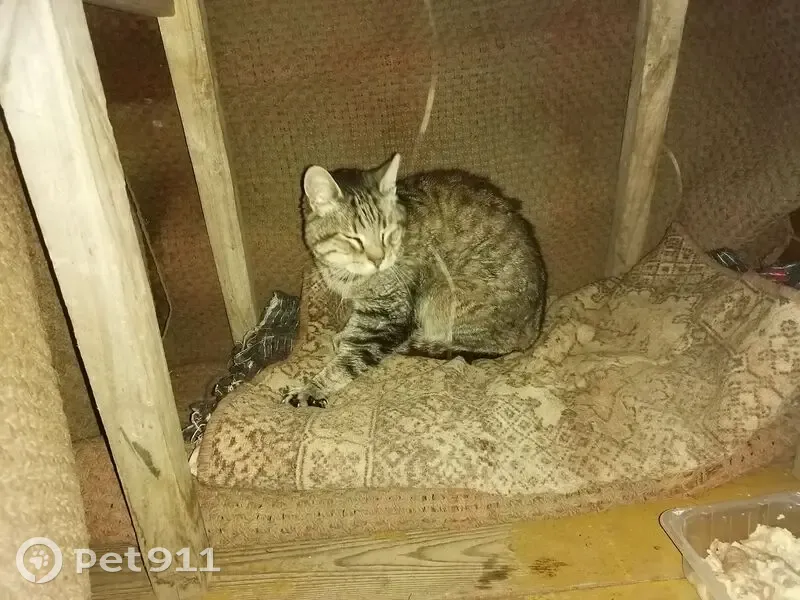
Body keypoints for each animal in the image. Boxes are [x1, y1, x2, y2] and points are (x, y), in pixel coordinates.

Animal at [283, 153, 547, 408]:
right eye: (353, 239)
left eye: (386, 232)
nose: (378, 259)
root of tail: (535, 330)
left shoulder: (387, 315)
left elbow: (350, 359)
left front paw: (312, 388)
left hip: (445, 297)